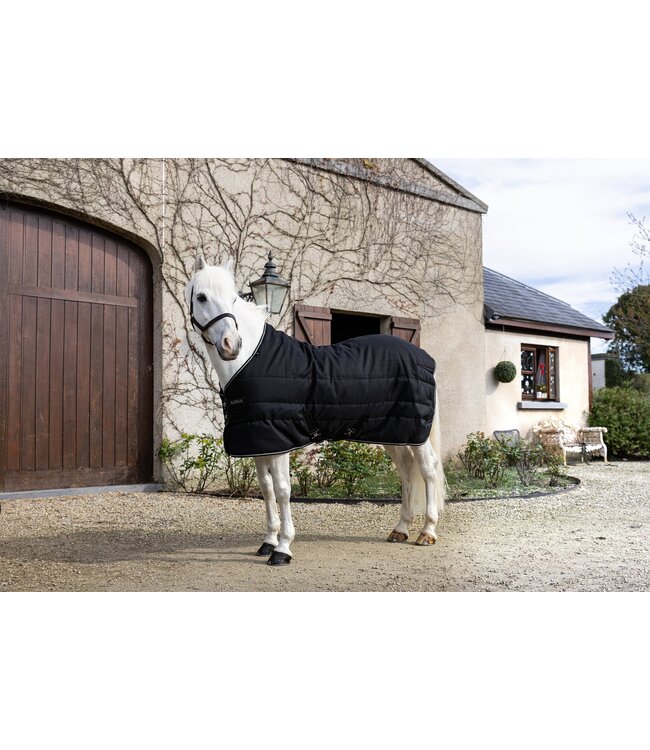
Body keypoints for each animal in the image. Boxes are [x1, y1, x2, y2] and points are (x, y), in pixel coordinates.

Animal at [185, 256, 446, 566]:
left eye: (234, 298)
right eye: (201, 297)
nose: (231, 345)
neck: (252, 360)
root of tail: (424, 357)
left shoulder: (280, 440)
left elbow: (283, 490)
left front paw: (283, 548)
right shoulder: (260, 440)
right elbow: (266, 488)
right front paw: (268, 542)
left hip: (417, 432)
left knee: (427, 470)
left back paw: (427, 532)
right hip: (394, 431)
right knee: (406, 471)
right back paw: (401, 529)